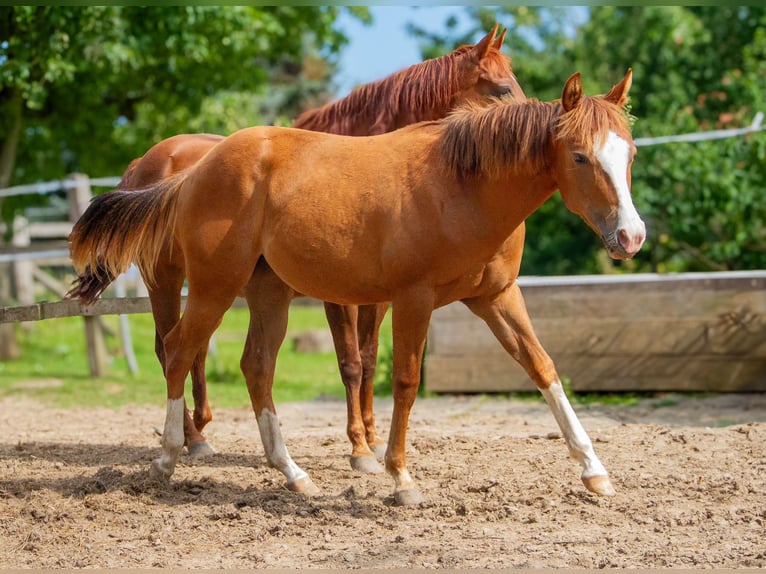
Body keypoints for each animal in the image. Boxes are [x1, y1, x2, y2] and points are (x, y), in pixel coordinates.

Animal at [70, 70, 648, 506]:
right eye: (579, 156)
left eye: (631, 154)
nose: (631, 236)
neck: (462, 187)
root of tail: (193, 172)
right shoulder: (414, 299)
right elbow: (407, 382)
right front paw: (400, 477)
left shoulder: (496, 298)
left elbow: (543, 367)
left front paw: (594, 470)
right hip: (210, 288)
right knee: (177, 352)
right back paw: (170, 457)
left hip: (268, 294)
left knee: (255, 367)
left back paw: (294, 475)